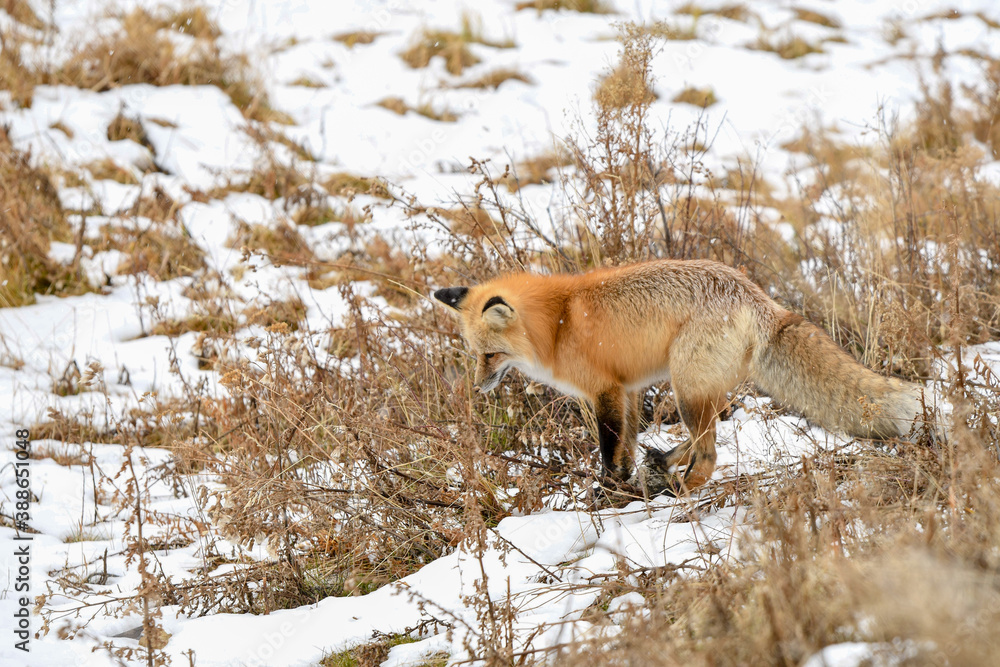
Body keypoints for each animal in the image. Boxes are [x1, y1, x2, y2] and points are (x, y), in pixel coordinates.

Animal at [434, 259, 926, 495]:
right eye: (474, 355)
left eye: (490, 355)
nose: (476, 387)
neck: (558, 324)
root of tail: (759, 298)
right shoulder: (629, 389)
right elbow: (628, 443)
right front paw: (625, 481)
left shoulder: (604, 391)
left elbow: (610, 448)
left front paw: (609, 489)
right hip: (695, 387)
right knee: (712, 426)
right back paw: (664, 464)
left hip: (685, 385)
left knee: (709, 454)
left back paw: (679, 487)